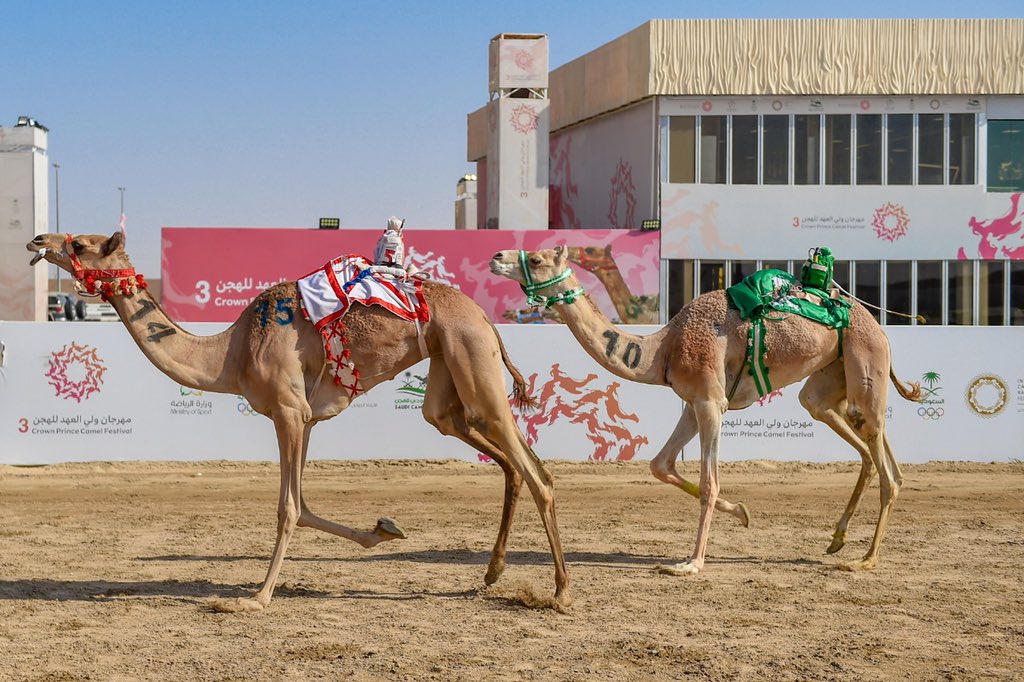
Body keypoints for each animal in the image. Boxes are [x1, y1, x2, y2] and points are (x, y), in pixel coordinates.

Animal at [28, 231, 573, 606]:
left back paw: (561, 592)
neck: (231, 352)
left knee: (537, 473)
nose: (38, 240)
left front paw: (257, 598)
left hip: (472, 359)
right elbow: (305, 504)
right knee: (489, 449)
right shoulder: (305, 418)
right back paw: (493, 572)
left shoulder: (288, 412)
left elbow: (287, 507)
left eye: (81, 242)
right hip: (447, 376)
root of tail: (485, 319)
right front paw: (383, 530)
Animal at [487, 244, 921, 573]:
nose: (496, 256)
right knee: (859, 440)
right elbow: (660, 465)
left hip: (866, 362)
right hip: (830, 380)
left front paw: (691, 563)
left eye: (537, 259)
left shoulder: (713, 402)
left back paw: (866, 558)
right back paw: (837, 539)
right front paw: (743, 513)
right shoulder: (691, 401)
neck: (661, 349)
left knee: (885, 461)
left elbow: (710, 481)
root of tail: (877, 324)